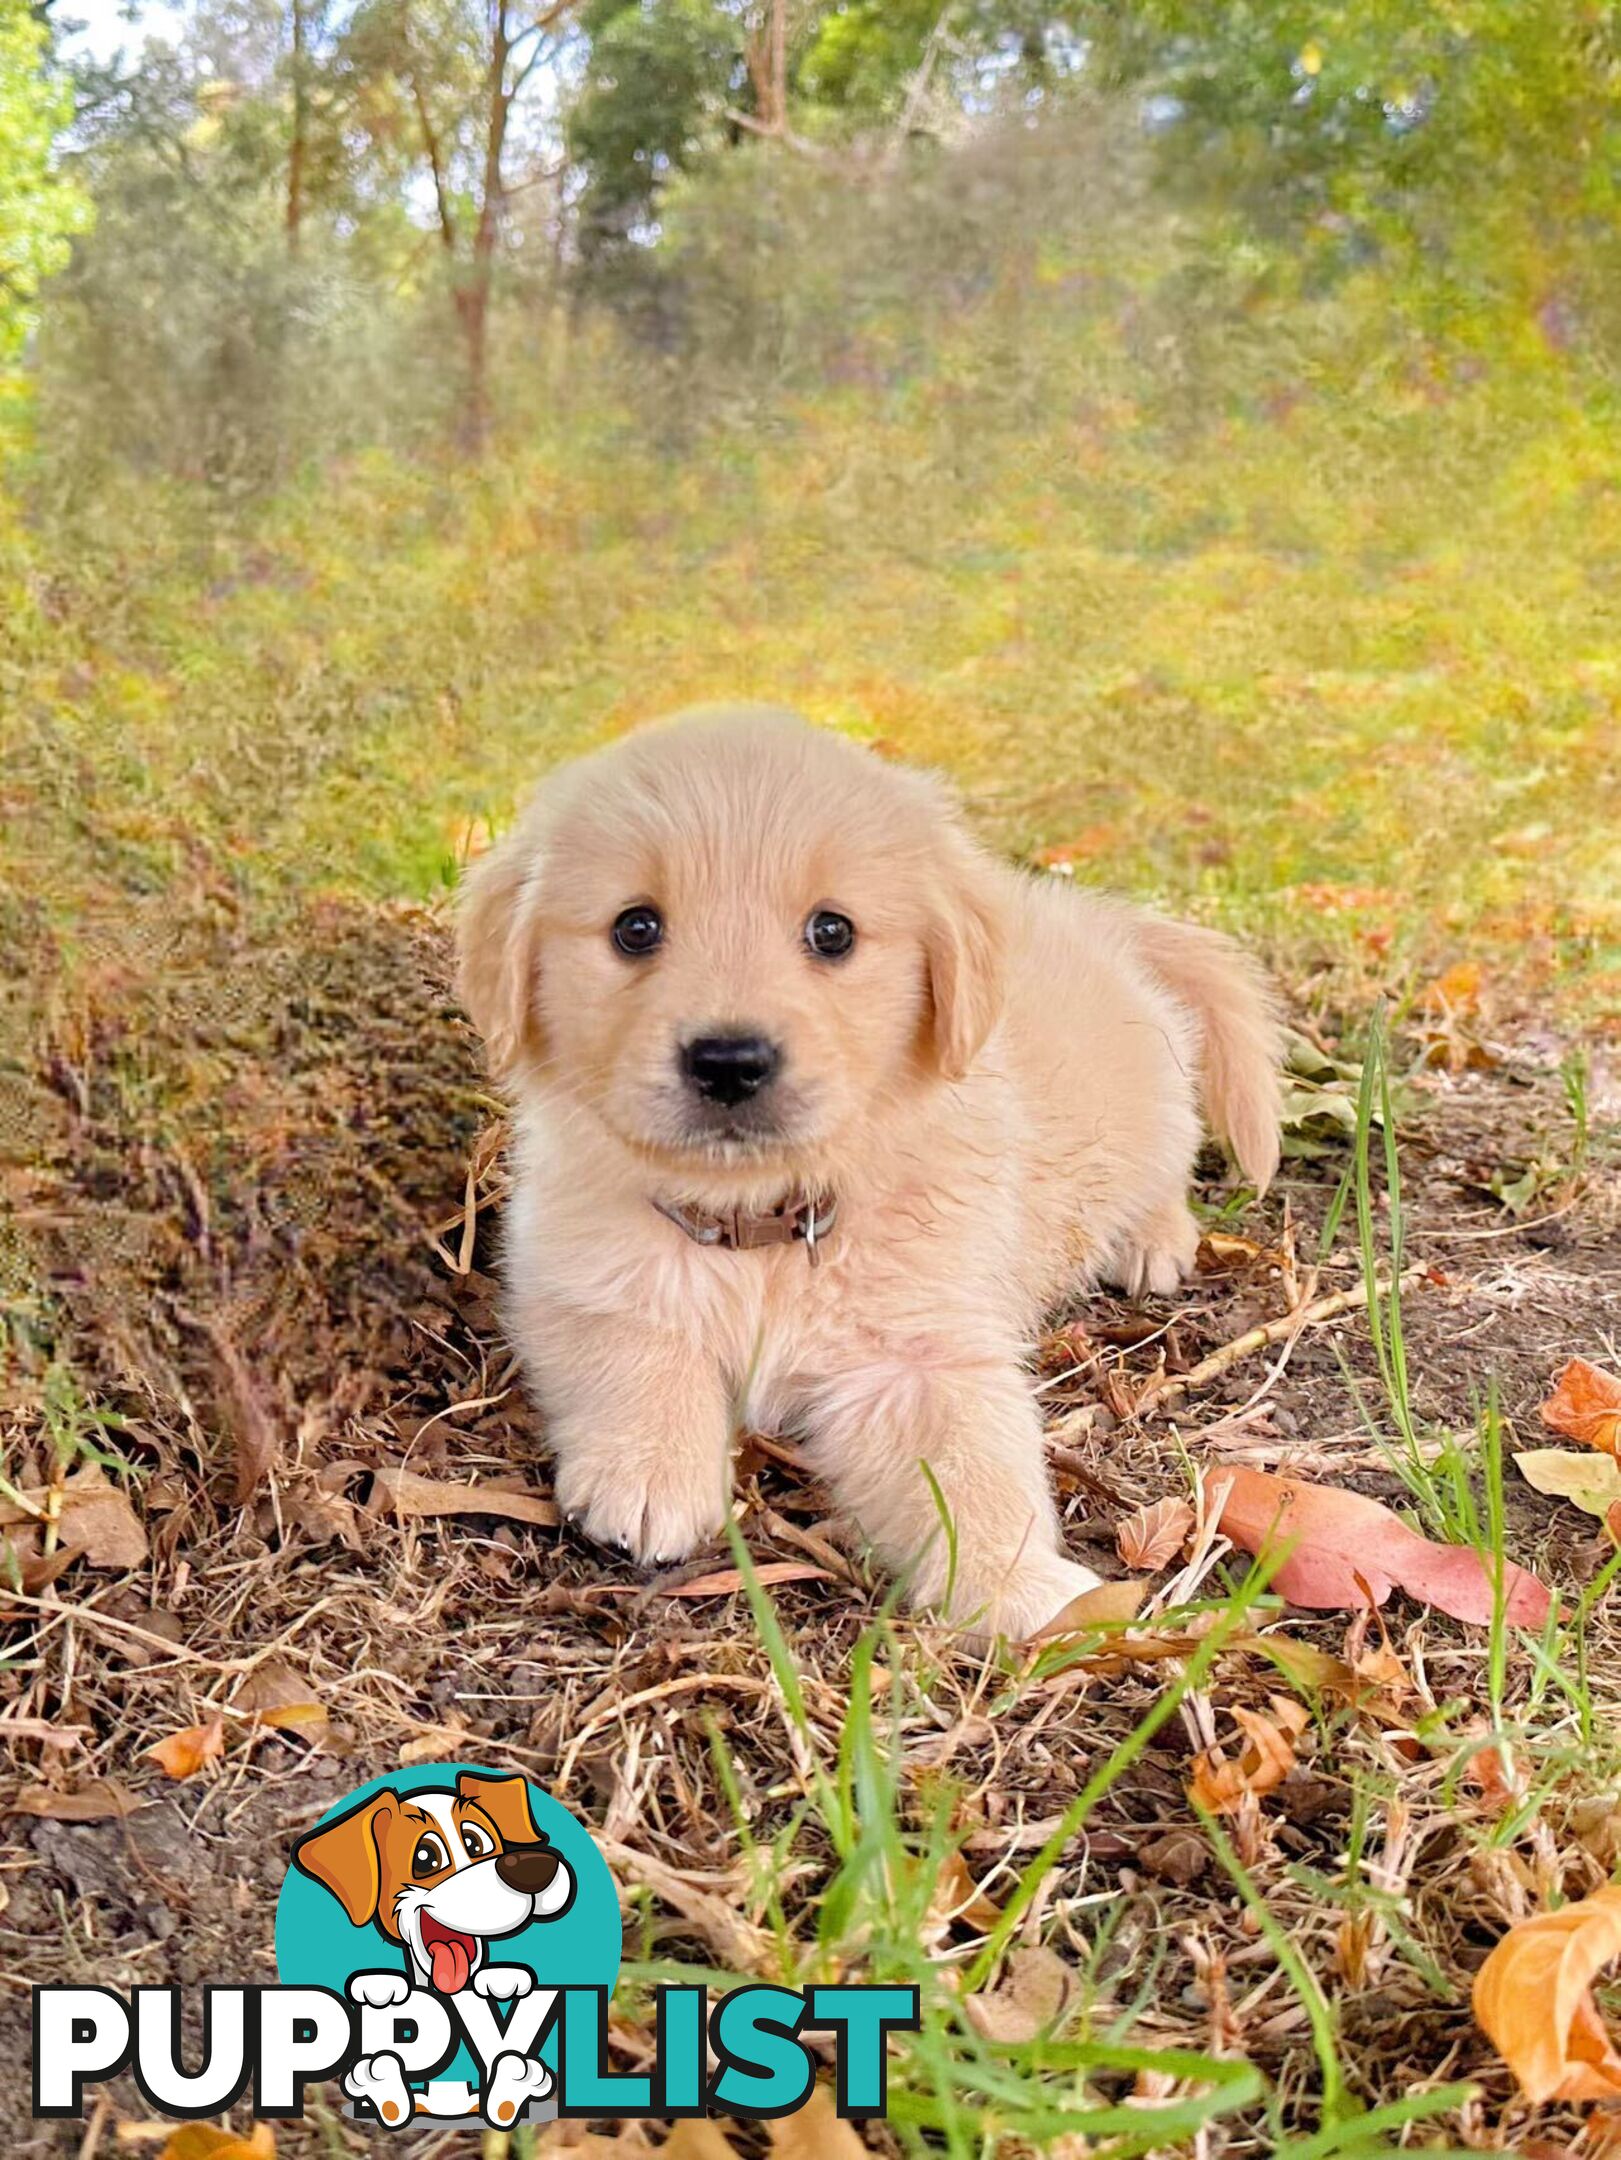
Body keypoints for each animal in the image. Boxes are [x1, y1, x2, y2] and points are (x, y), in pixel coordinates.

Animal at [460, 708, 1279, 1632]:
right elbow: (636, 1346)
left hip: (1152, 1105)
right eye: (635, 928)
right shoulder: (574, 1273)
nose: (729, 1062)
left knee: (1165, 1171)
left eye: (832, 932)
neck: (761, 1228)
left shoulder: (920, 1352)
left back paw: (1151, 1242)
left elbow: (968, 1469)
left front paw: (1014, 1583)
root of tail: (1094, 919)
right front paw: (647, 1473)